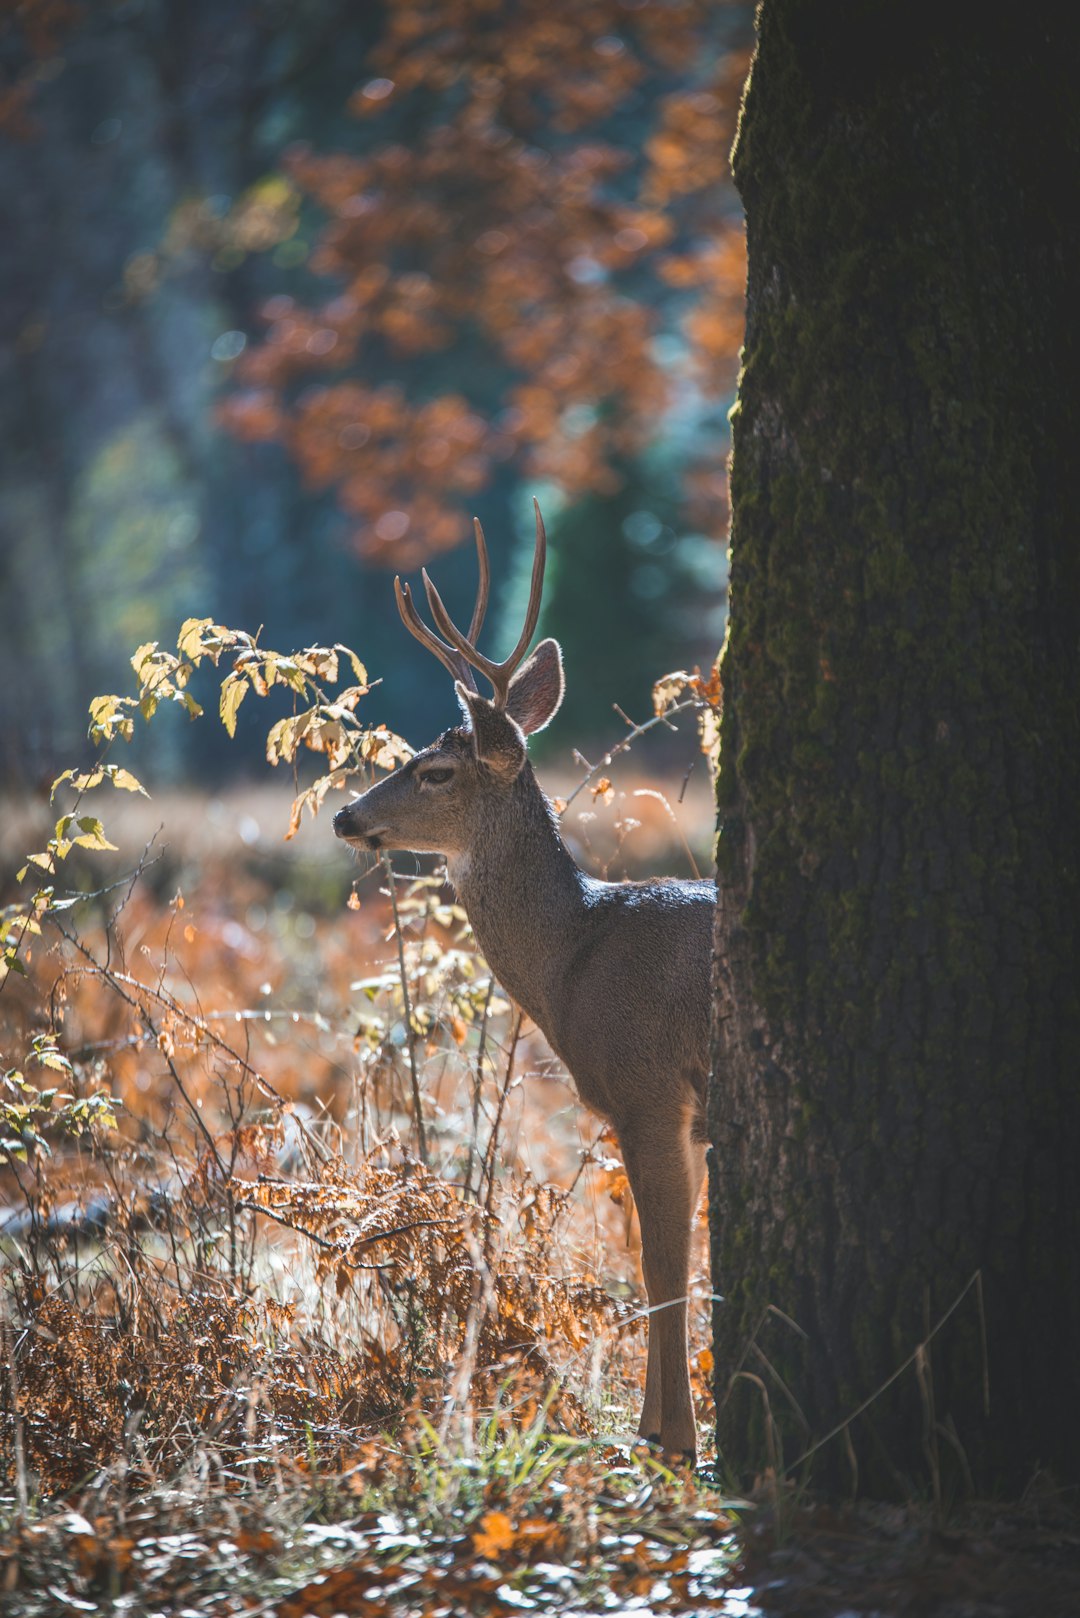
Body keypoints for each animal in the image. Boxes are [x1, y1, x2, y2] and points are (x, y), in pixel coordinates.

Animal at [333, 504, 712, 1469]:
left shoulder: (649, 1089)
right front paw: (650, 1426)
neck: (574, 960)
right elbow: (663, 1263)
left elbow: (661, 1264)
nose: (347, 816)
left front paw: (673, 1444)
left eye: (435, 770)